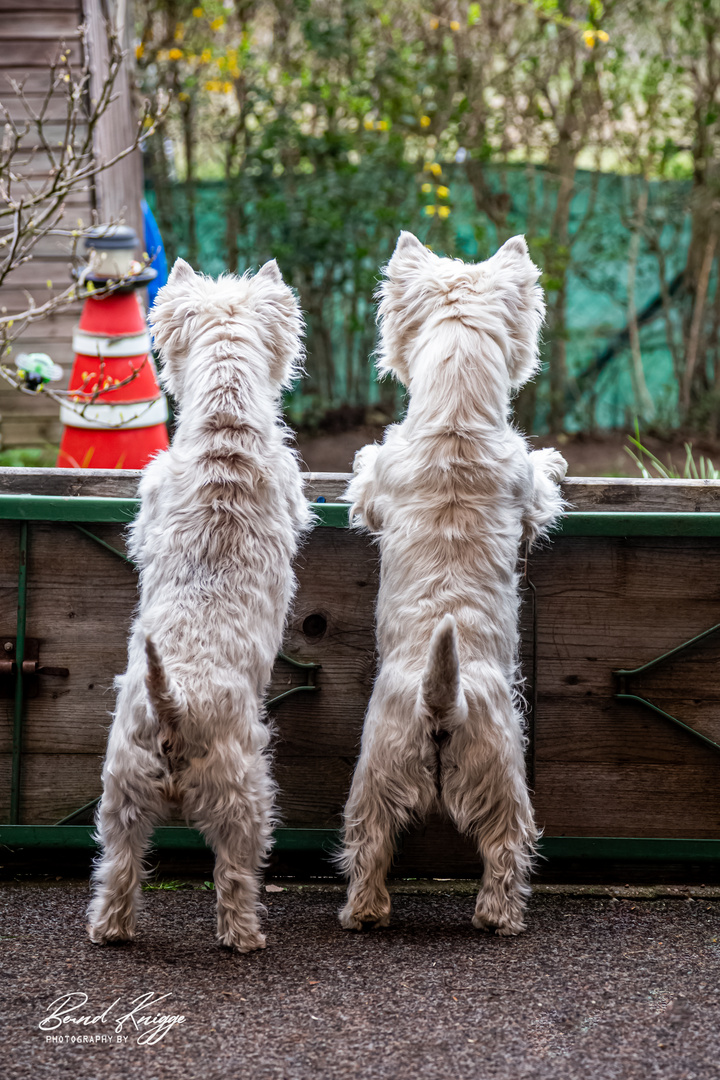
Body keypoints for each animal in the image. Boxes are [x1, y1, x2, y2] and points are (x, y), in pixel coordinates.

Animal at [85, 257, 310, 950]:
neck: (224, 422)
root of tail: (173, 708)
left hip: (121, 795)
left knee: (119, 869)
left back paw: (111, 930)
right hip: (245, 795)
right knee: (235, 873)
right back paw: (246, 935)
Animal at [338, 234, 569, 937]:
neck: (456, 416)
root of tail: (443, 709)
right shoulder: (527, 493)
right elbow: (543, 480)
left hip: (380, 776)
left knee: (374, 848)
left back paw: (369, 913)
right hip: (497, 780)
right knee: (503, 849)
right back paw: (497, 917)